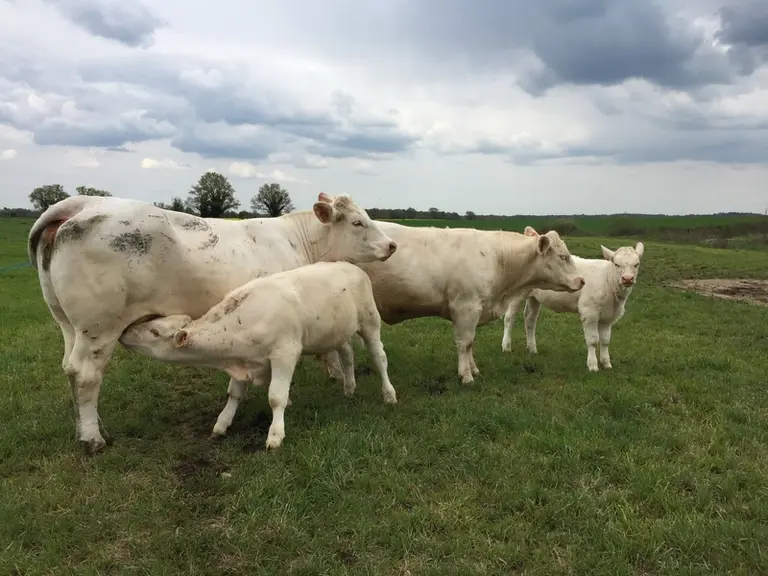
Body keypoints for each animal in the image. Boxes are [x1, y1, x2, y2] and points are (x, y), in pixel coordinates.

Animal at [119, 261, 398, 449]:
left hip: (370, 322)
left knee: (379, 357)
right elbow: (234, 394)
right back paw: (349, 388)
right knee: (348, 355)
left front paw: (275, 435)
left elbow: (276, 397)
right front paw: (222, 424)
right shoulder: (239, 359)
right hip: (337, 331)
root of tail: (350, 265)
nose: (124, 332)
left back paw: (388, 395)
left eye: (154, 331)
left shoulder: (285, 353)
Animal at [337, 224, 586, 384]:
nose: (581, 280)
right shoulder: (466, 307)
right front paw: (466, 375)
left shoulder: (475, 310)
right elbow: (464, 342)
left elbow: (471, 343)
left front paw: (474, 369)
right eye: (563, 257)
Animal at [501, 239, 645, 372]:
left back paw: (532, 349)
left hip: (534, 297)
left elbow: (605, 340)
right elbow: (593, 340)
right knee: (510, 317)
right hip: (518, 293)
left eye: (636, 264)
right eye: (616, 264)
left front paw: (606, 363)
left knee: (530, 319)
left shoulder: (608, 316)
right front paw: (593, 365)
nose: (627, 278)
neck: (608, 281)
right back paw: (506, 346)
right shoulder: (589, 312)